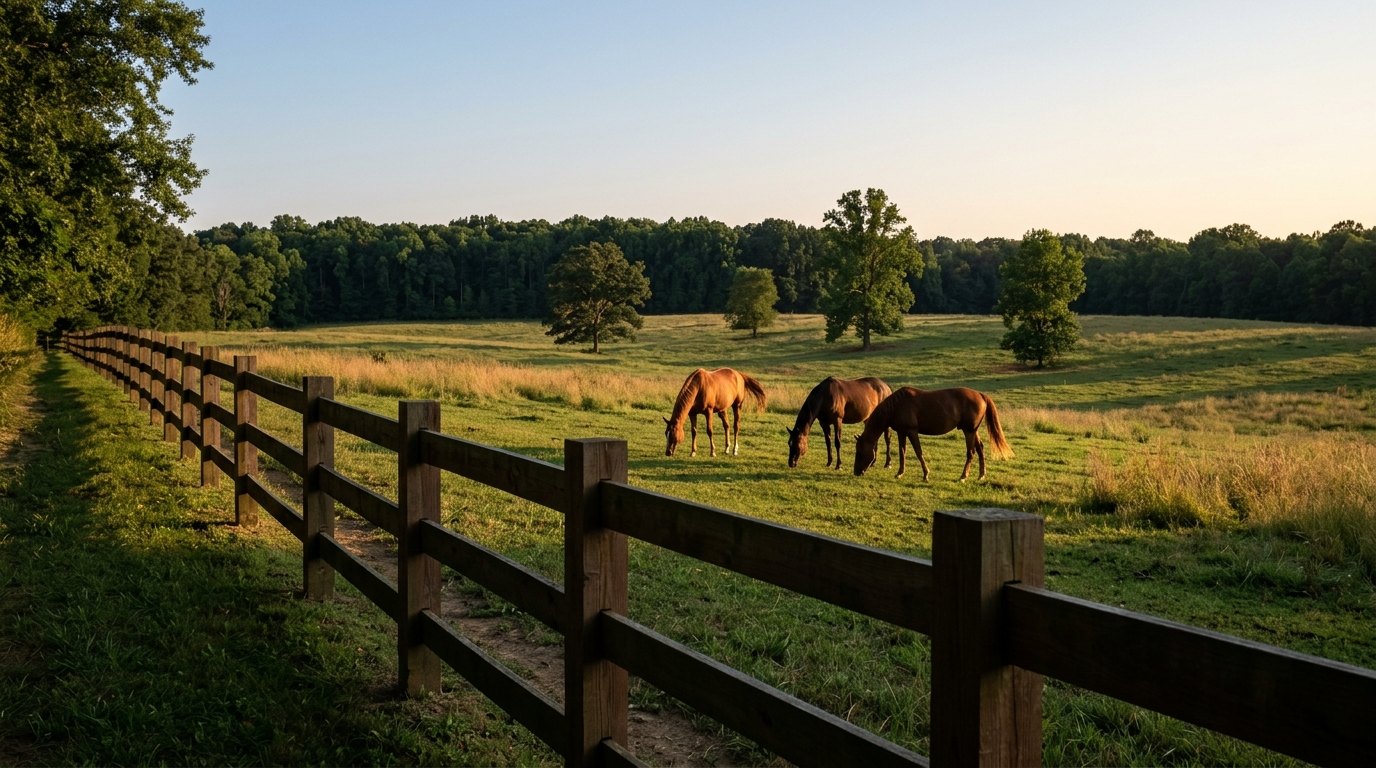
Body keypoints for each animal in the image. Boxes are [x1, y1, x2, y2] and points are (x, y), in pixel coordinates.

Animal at [853, 387, 1013, 481]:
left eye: (859, 453)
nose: (856, 472)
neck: (897, 405)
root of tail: (981, 395)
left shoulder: (912, 431)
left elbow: (918, 452)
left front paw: (926, 474)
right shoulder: (901, 432)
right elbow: (902, 452)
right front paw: (900, 473)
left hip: (969, 431)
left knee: (971, 452)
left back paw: (963, 476)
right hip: (973, 431)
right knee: (980, 448)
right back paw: (981, 475)